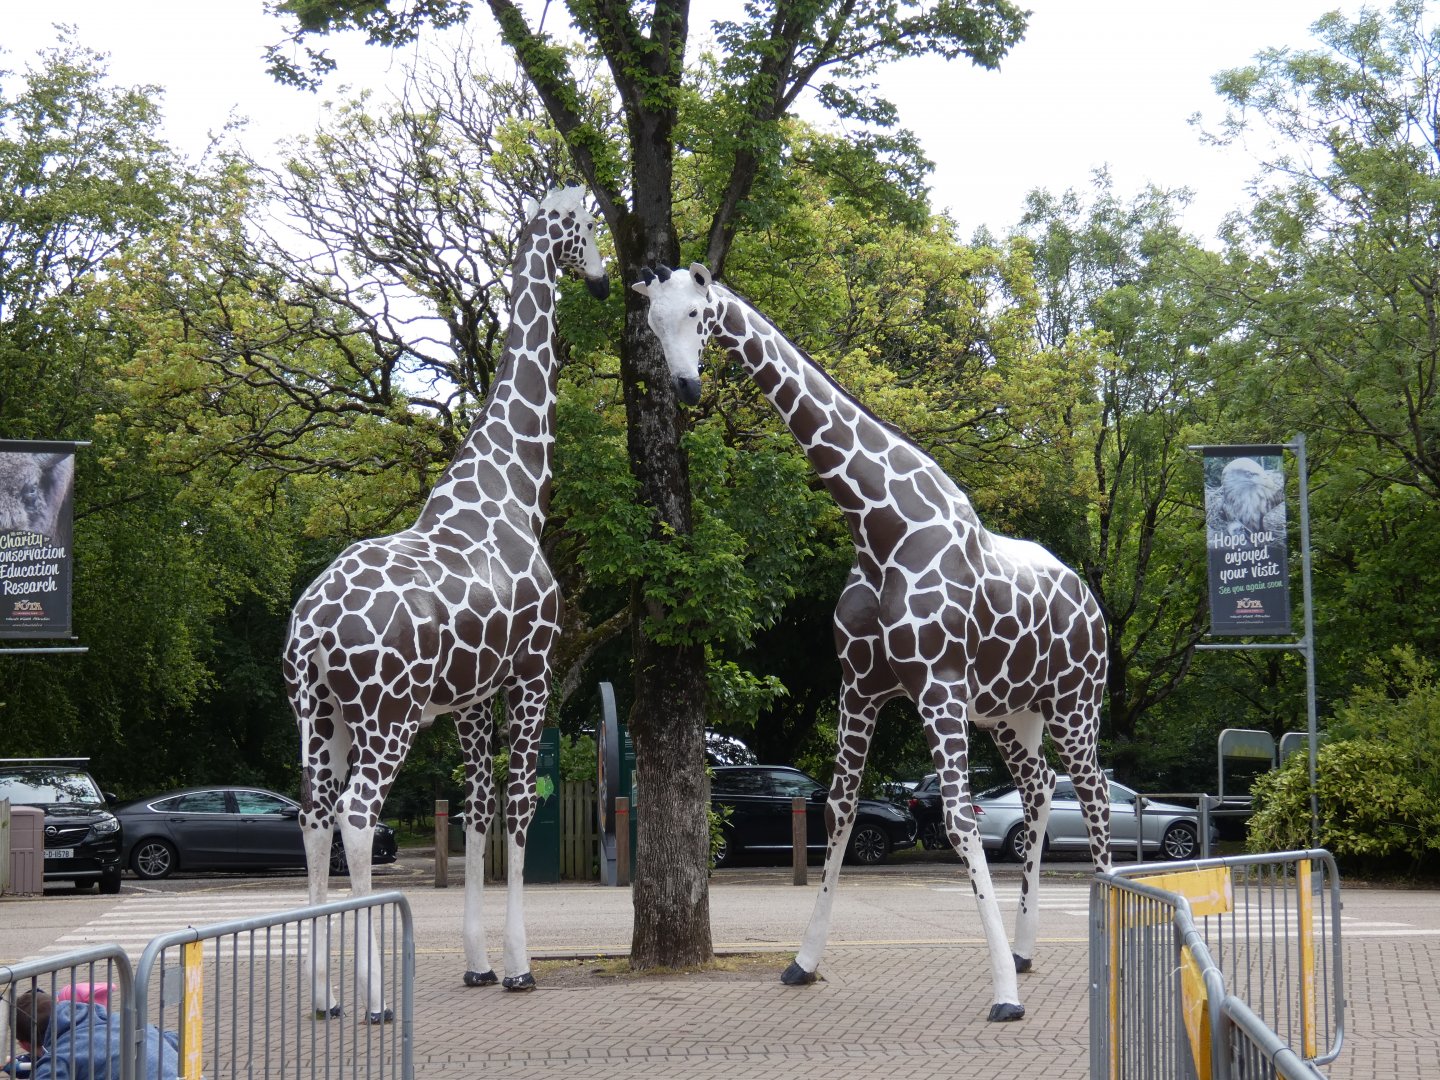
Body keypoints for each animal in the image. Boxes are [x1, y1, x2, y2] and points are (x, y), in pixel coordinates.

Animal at [284, 185, 608, 1016]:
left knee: (314, 813)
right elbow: (521, 805)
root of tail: (311, 630)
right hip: (386, 716)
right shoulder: (532, 670)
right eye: (588, 226)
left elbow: (476, 808)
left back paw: (322, 995)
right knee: (358, 817)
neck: (515, 485)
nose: (599, 280)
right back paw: (373, 996)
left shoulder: (469, 697)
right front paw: (520, 966)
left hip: (319, 714)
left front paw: (478, 963)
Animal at [632, 264, 1112, 1022]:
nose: (684, 388)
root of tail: (1090, 599)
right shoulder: (859, 687)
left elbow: (958, 820)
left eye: (696, 314)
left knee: (1094, 796)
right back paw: (1027, 949)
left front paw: (1003, 997)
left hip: (1074, 703)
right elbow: (839, 810)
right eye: (652, 323)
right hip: (1013, 713)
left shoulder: (937, 688)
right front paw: (803, 962)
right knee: (1038, 791)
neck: (878, 525)